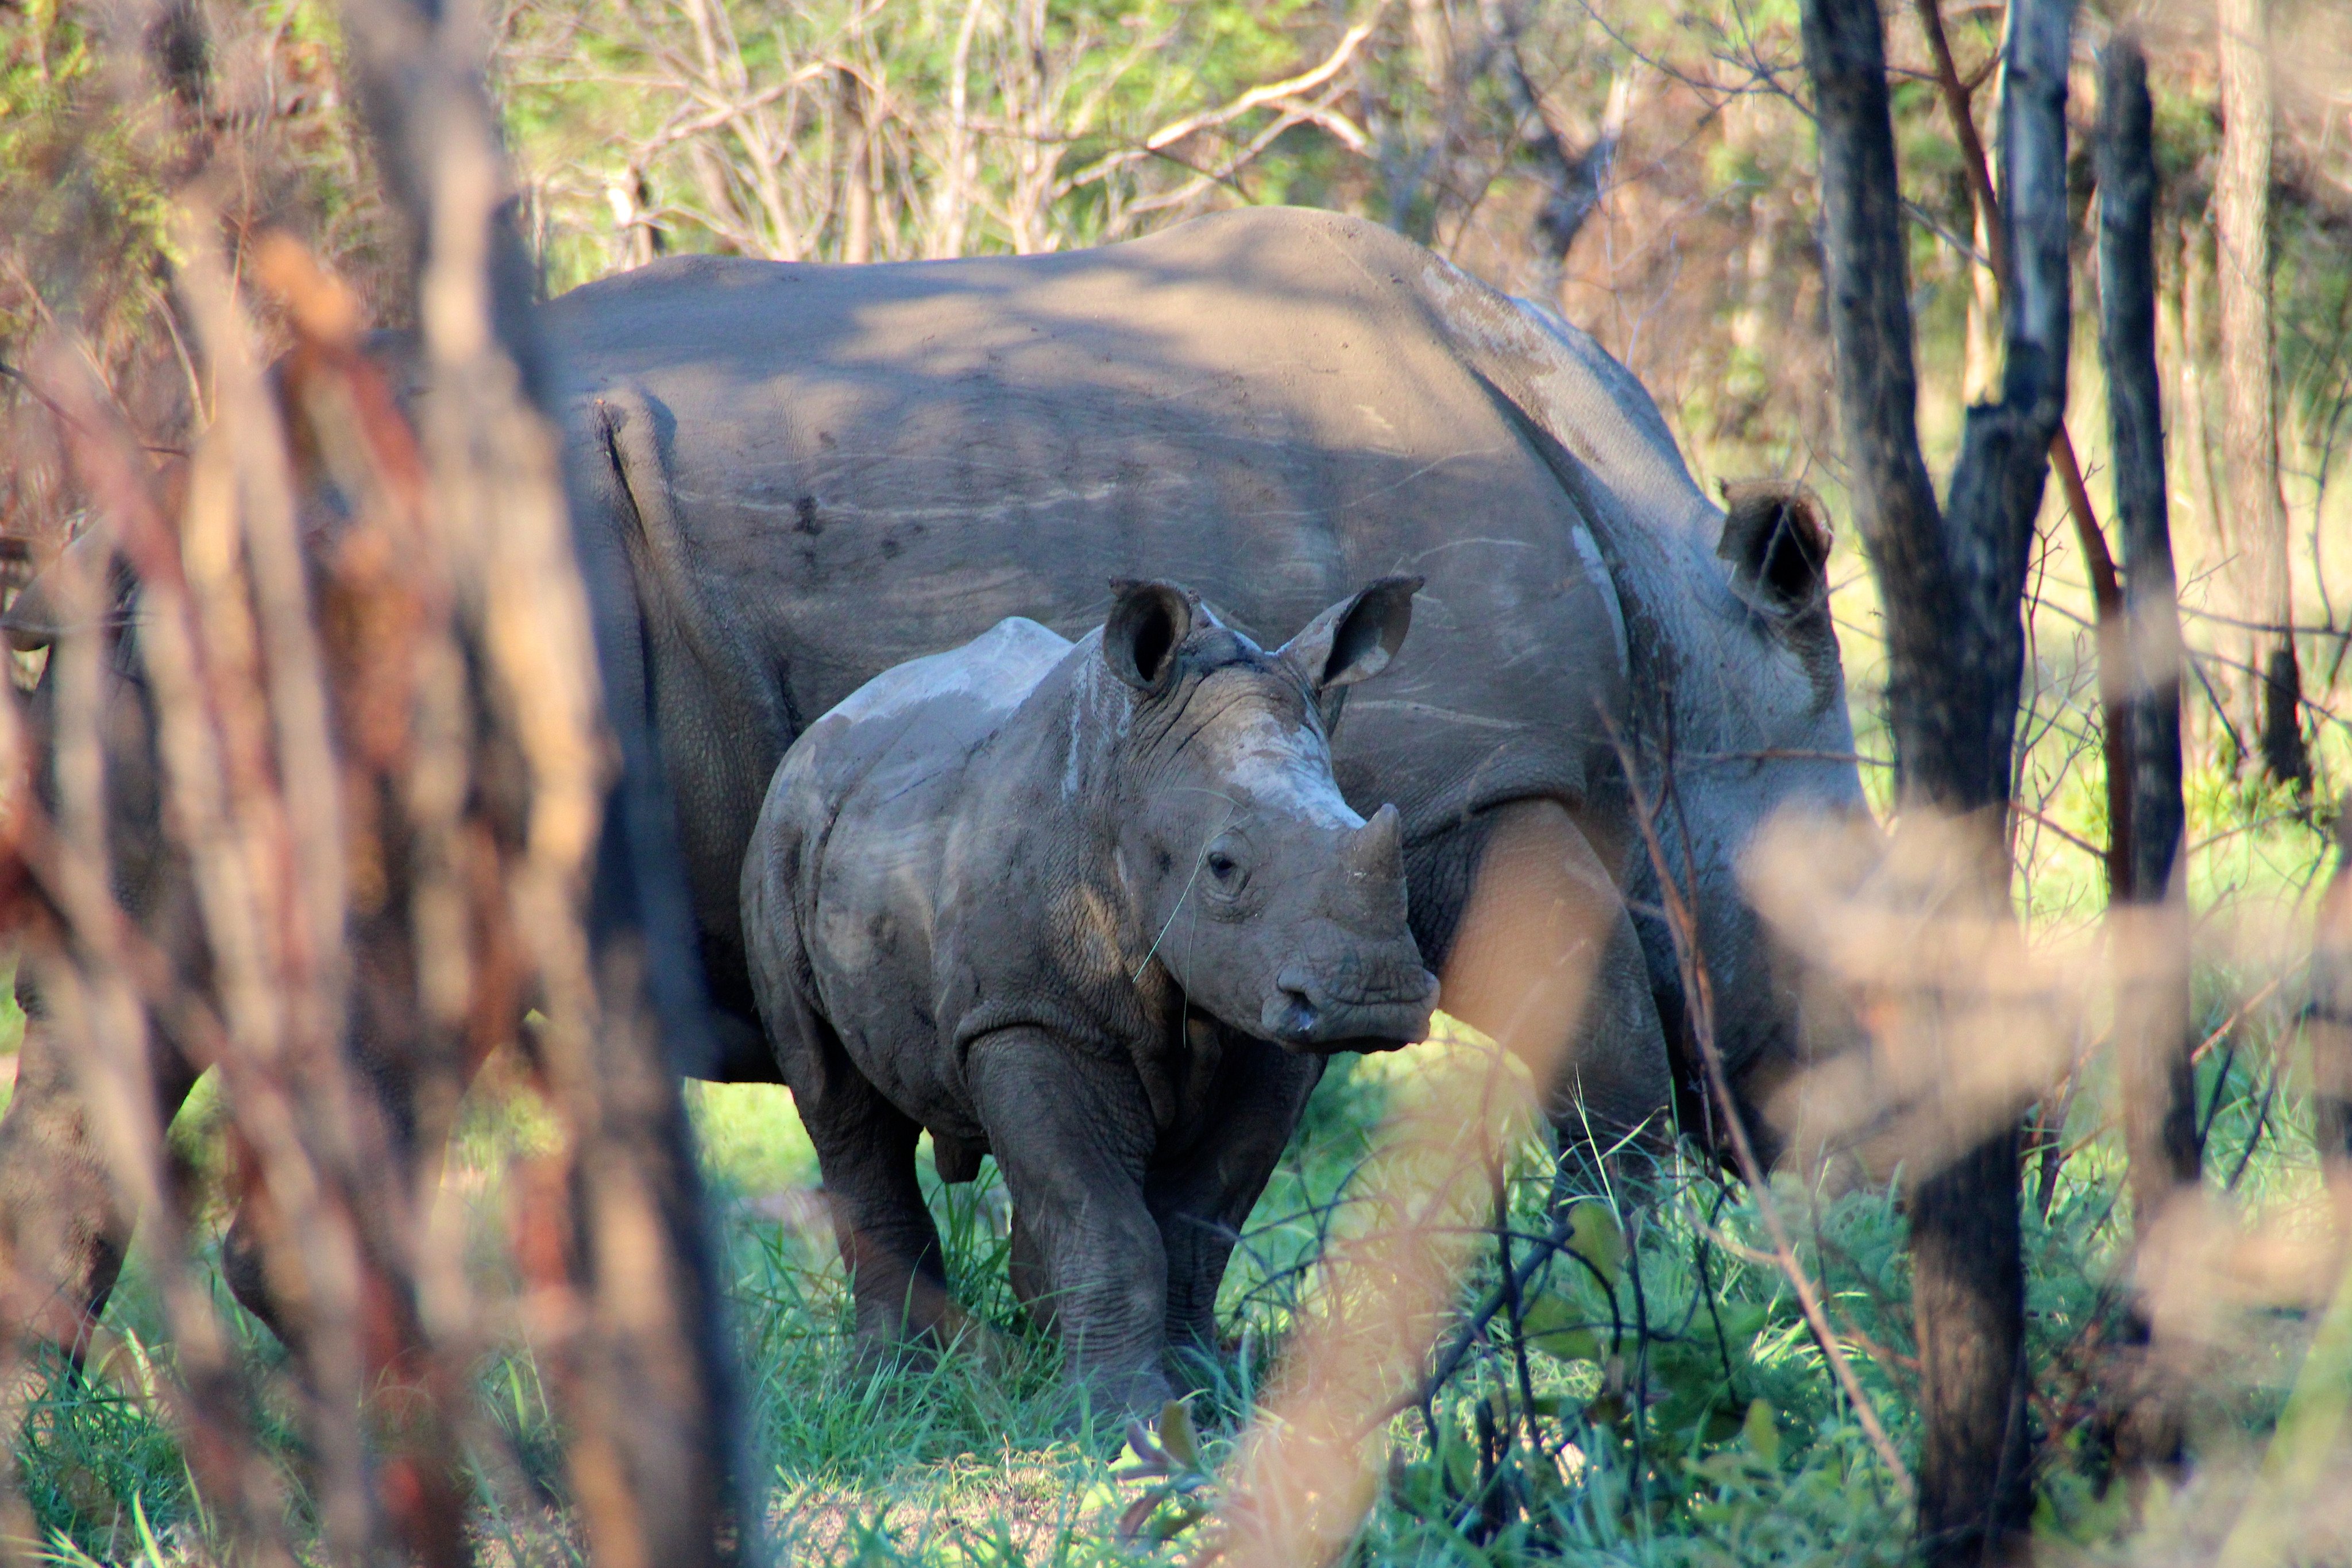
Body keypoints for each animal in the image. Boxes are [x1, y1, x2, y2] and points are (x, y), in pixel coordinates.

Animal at [743, 583, 1430, 1420]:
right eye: (1222, 867)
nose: (1375, 997)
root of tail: (830, 722)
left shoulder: (1264, 1031)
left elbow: (1199, 1219)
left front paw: (1202, 1389)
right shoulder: (1028, 1015)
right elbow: (1101, 1216)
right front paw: (1118, 1414)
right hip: (781, 831)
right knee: (836, 1100)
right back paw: (892, 1384)